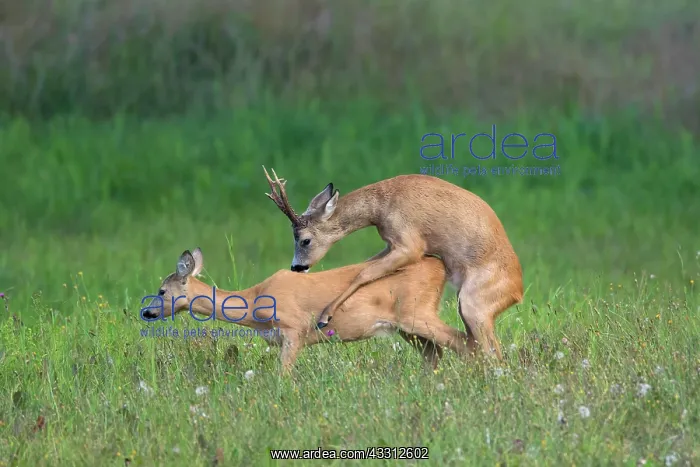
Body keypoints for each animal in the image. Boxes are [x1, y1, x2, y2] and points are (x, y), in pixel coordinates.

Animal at [140, 247, 478, 373]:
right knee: (435, 352)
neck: (254, 303)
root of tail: (439, 266)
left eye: (162, 291)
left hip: (417, 313)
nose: (146, 313)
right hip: (406, 326)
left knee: (463, 341)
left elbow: (284, 375)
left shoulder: (294, 329)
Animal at [262, 167, 523, 361]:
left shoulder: (410, 244)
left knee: (491, 352)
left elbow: (365, 273)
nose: (297, 267)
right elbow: (363, 266)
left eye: (305, 240)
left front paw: (325, 316)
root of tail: (518, 291)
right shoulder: (390, 244)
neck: (382, 205)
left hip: (475, 304)